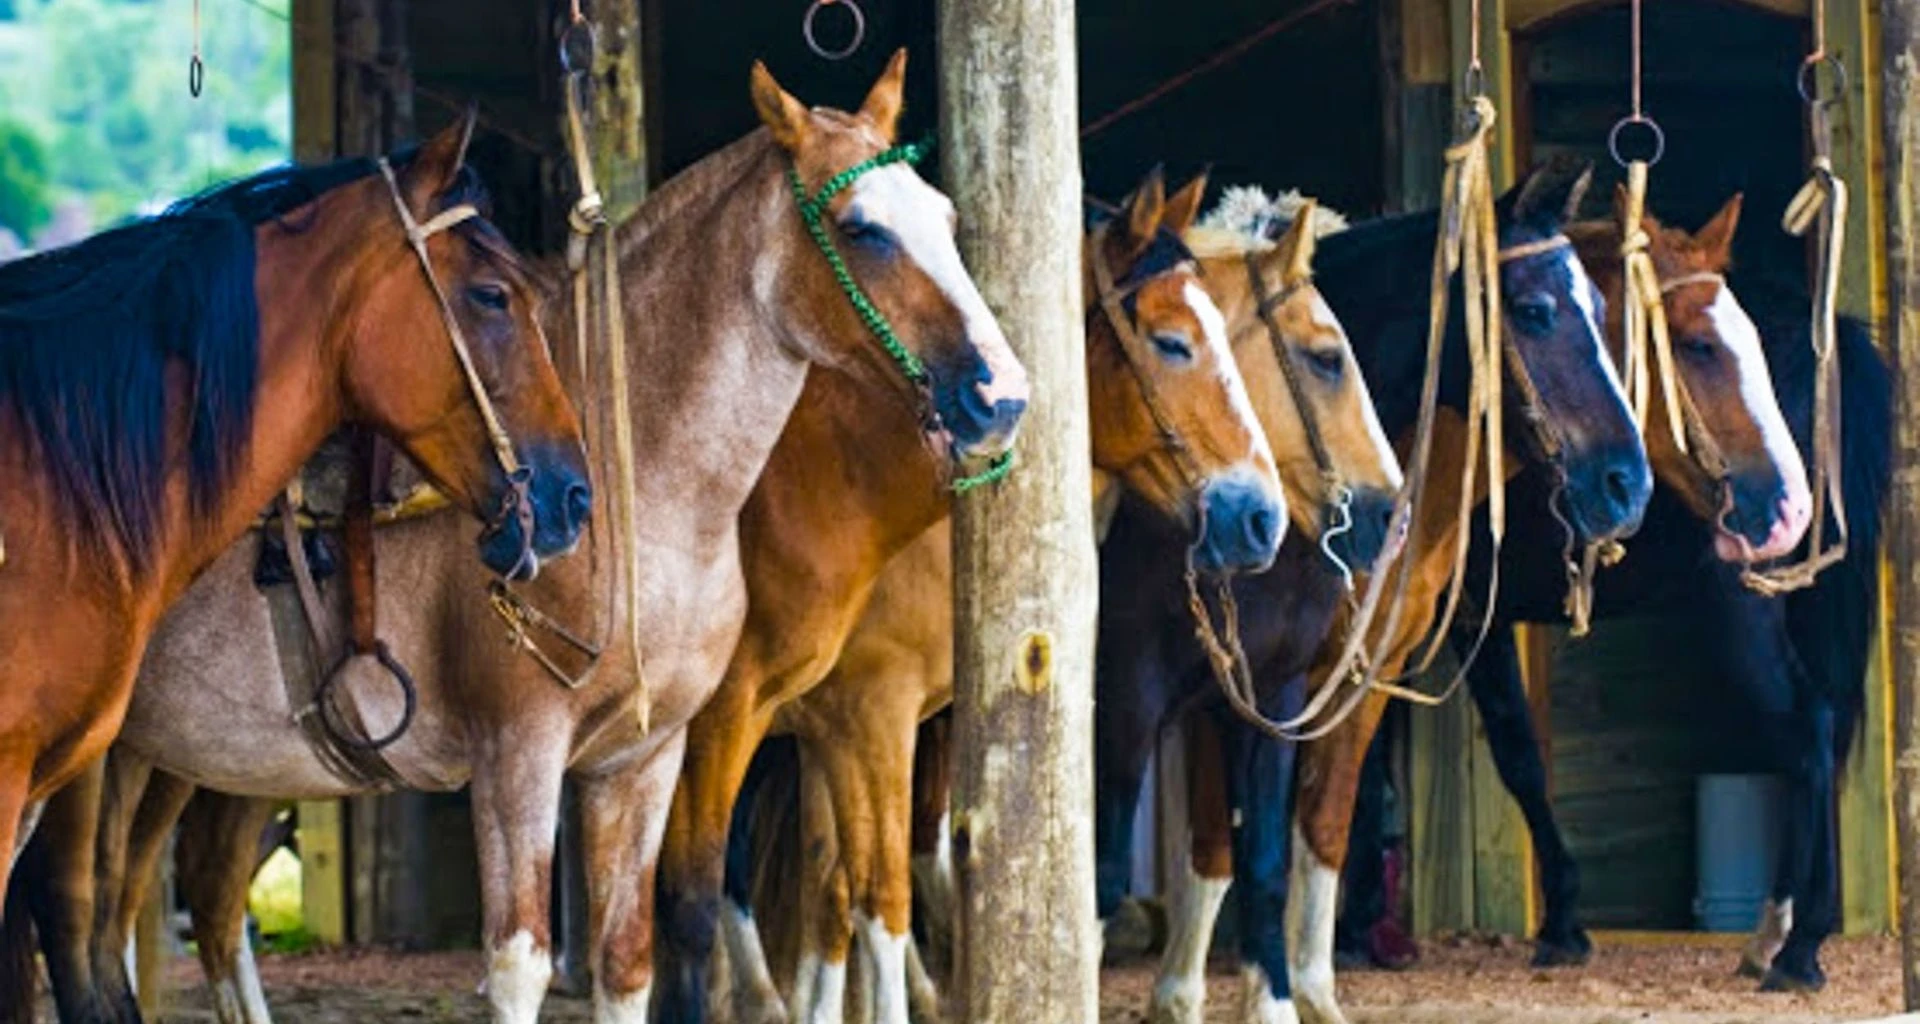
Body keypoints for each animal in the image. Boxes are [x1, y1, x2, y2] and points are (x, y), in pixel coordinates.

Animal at [720, 184, 1404, 1024]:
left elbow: (1255, 860)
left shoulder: (1253, 696)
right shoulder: (1115, 700)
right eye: (1326, 357)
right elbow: (1089, 877)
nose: (1388, 511)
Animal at [1336, 207, 1889, 995]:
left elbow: (1486, 756)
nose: (1785, 498)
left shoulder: (1459, 614)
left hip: (1740, 603)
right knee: (1823, 730)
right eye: (1697, 345)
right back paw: (1778, 931)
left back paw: (1798, 944)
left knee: (1809, 729)